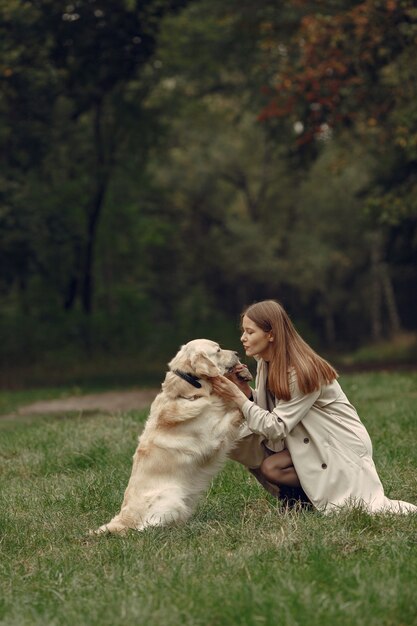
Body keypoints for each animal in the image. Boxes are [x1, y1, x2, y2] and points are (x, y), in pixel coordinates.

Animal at [94, 336, 250, 532]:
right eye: (218, 350)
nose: (237, 353)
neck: (189, 392)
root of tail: (124, 519)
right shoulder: (212, 437)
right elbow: (235, 411)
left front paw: (243, 378)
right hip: (172, 497)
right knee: (145, 528)